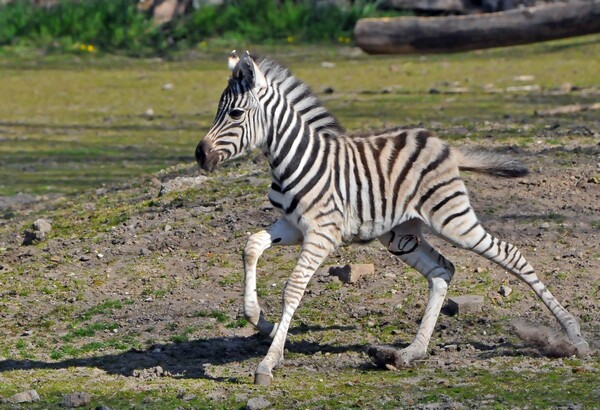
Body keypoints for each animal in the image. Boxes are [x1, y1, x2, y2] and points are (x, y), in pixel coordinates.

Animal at [197, 50, 592, 384]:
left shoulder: (323, 232)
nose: (200, 155)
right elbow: (251, 246)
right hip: (402, 235)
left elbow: (292, 287)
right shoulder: (292, 226)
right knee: (443, 271)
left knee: (511, 255)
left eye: (235, 114)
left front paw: (268, 361)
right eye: (218, 110)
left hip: (452, 219)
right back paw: (409, 353)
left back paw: (575, 337)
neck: (293, 159)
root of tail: (445, 146)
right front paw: (258, 319)